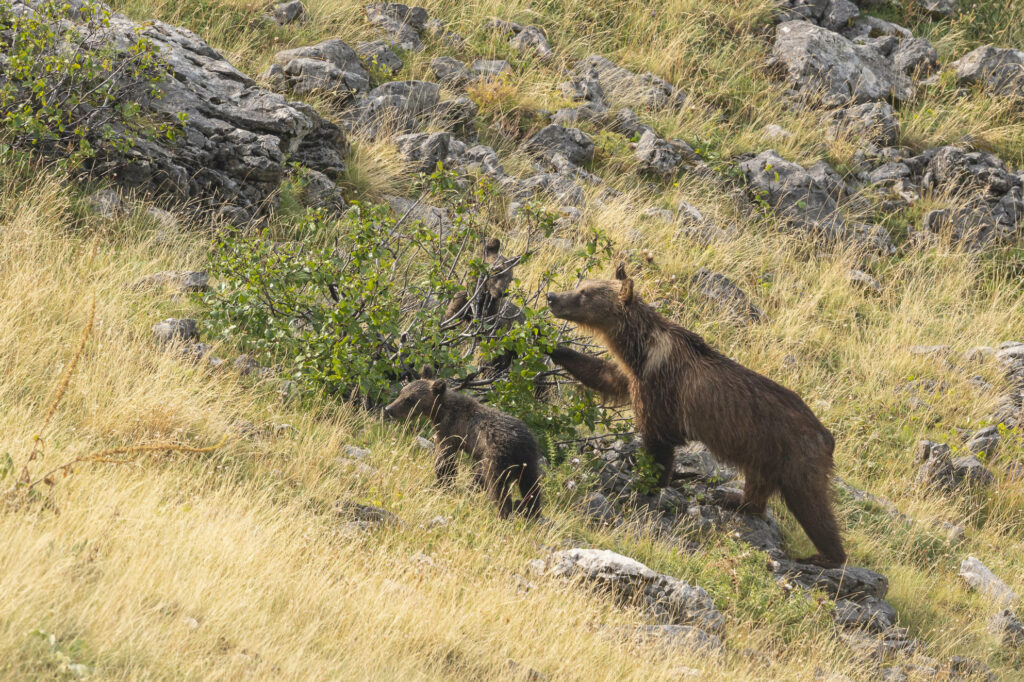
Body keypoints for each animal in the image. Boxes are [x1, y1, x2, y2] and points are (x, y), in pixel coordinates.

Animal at [384, 368, 543, 519]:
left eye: (410, 399)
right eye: (402, 392)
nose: (389, 409)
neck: (440, 412)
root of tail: (520, 445)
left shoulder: (449, 431)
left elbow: (445, 460)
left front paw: (443, 483)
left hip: (497, 459)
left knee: (498, 487)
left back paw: (503, 513)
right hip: (529, 461)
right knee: (531, 487)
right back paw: (532, 512)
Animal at [545, 265, 846, 568]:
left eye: (585, 293)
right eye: (581, 285)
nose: (552, 296)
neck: (641, 349)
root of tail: (827, 436)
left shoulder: (660, 389)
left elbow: (657, 442)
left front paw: (646, 484)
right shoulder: (633, 376)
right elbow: (603, 375)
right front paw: (554, 347)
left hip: (796, 458)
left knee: (812, 505)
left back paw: (825, 556)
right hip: (764, 455)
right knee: (758, 487)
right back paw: (733, 499)